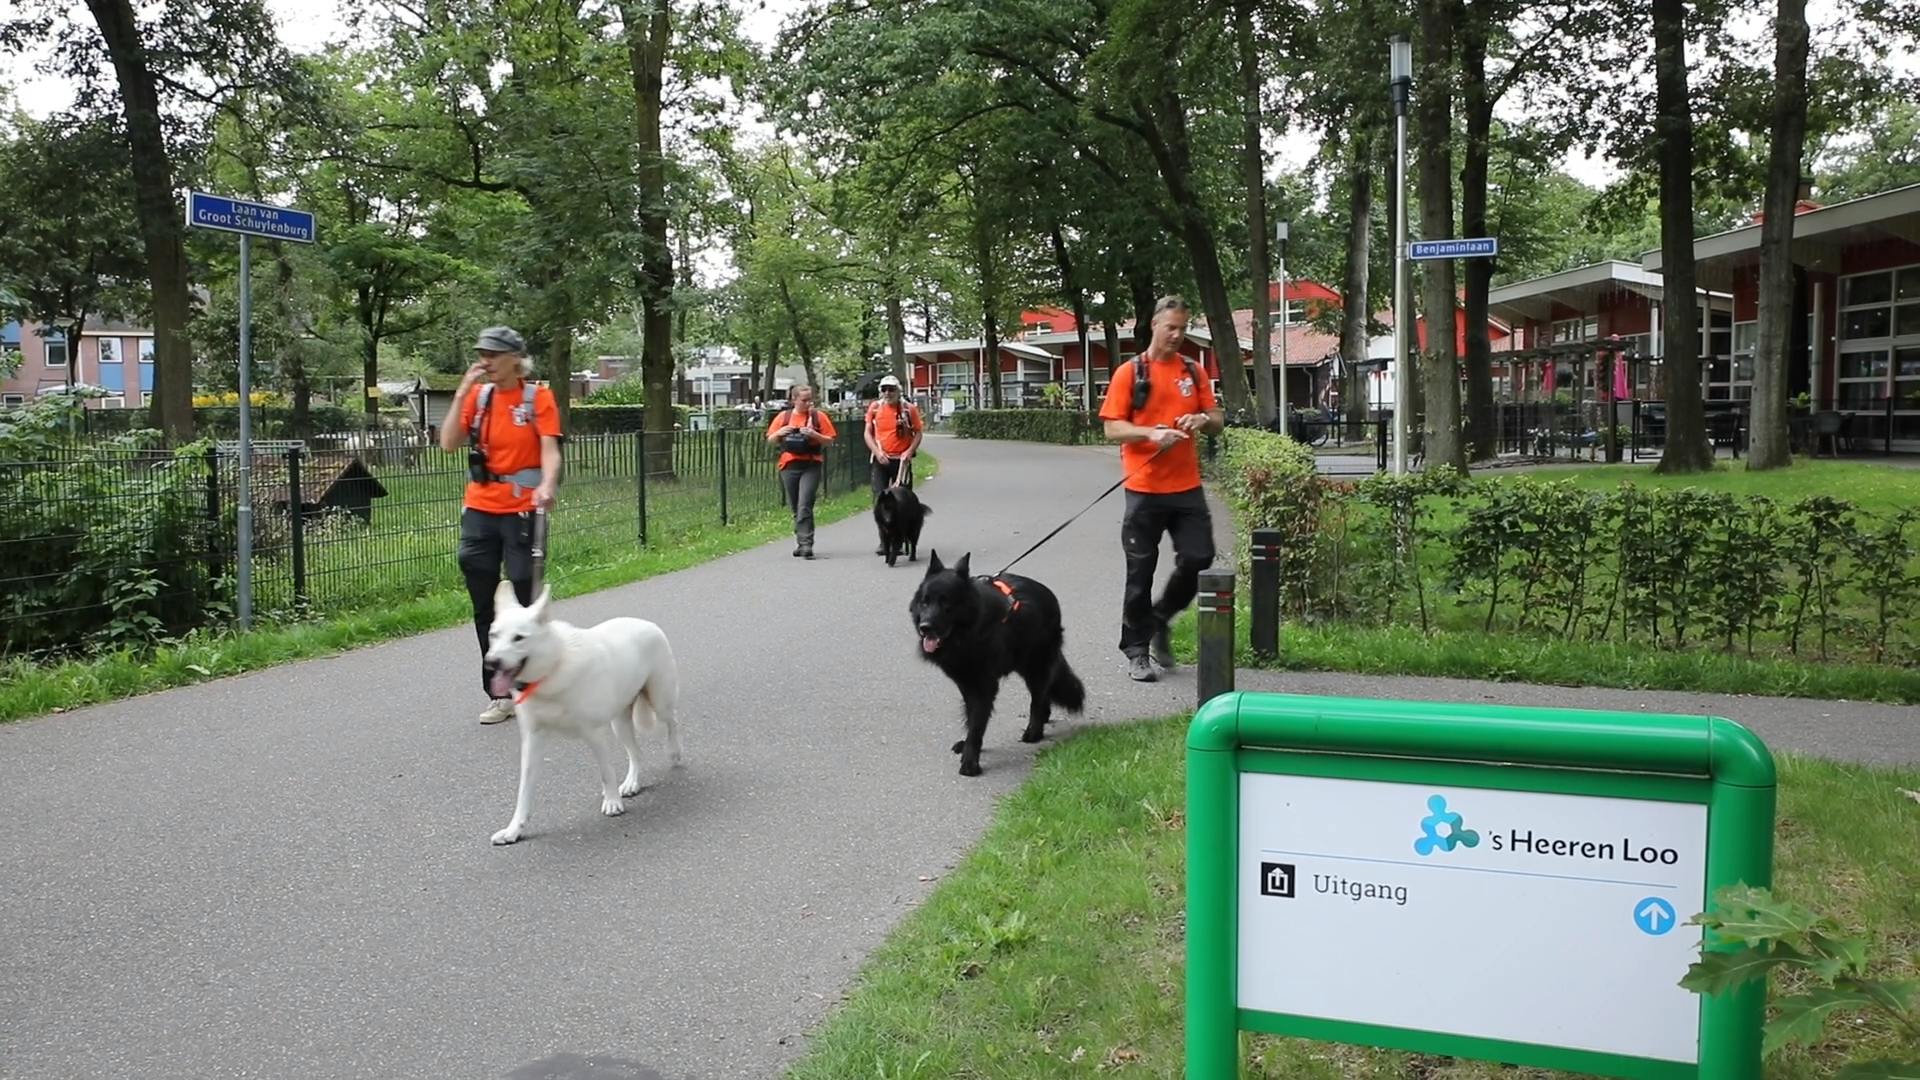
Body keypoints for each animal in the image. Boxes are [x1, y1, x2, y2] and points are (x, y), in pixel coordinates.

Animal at [480, 580, 683, 841]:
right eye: (493, 635)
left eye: (519, 638)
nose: (491, 662)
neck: (553, 669)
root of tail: (647, 623)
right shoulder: (533, 740)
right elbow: (524, 791)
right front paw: (514, 829)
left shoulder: (594, 733)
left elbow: (606, 772)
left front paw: (612, 802)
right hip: (620, 723)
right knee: (636, 753)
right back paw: (631, 783)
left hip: (659, 700)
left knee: (672, 721)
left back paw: (674, 752)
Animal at [910, 545, 1090, 772]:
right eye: (925, 602)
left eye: (946, 604)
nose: (925, 628)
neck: (973, 629)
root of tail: (1049, 593)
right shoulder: (966, 682)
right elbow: (970, 716)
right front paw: (967, 745)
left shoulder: (983, 685)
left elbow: (977, 722)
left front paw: (970, 762)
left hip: (1035, 666)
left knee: (1038, 698)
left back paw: (1034, 731)